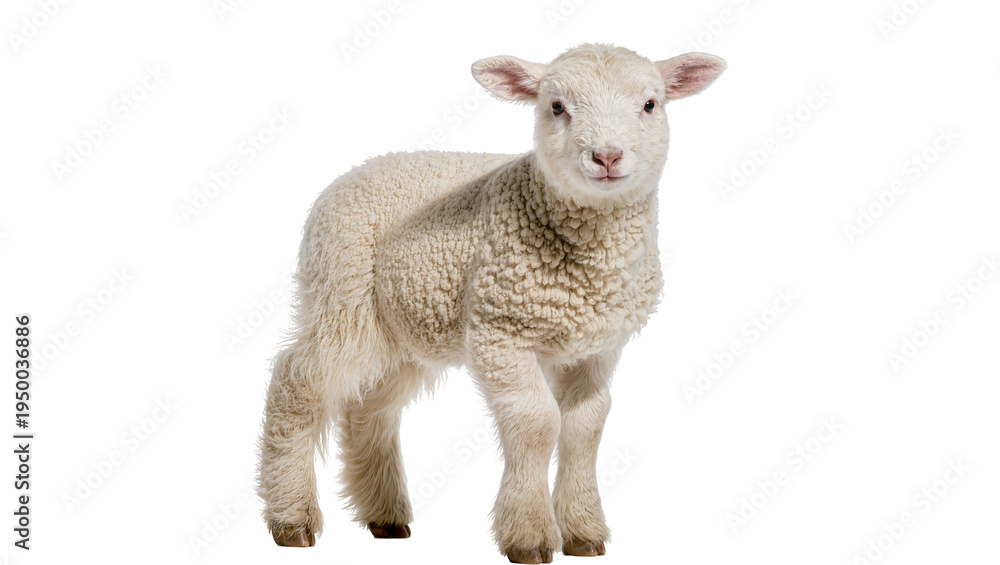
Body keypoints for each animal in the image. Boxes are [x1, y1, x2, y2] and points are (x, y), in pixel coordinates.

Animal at [256, 42, 725, 563]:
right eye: (556, 107)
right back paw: (291, 518)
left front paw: (583, 532)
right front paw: (530, 535)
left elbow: (586, 426)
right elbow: (537, 421)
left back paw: (385, 516)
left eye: (649, 104)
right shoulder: (499, 331)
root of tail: (356, 171)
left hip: (404, 329)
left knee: (370, 408)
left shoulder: (597, 348)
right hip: (342, 293)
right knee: (298, 382)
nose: (606, 156)